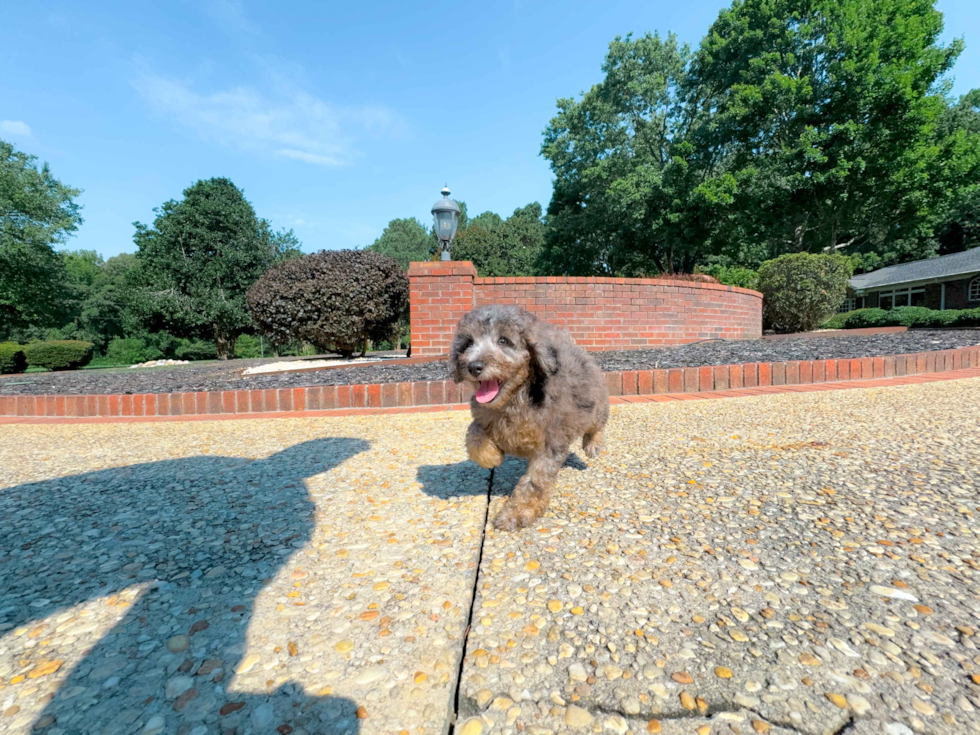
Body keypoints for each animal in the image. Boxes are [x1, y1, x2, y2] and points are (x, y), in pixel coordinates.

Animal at [450, 304, 604, 528]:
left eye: (503, 341)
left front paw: (517, 513)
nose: (474, 366)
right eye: (469, 343)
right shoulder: (484, 416)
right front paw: (491, 456)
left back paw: (593, 445)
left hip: (595, 405)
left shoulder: (550, 443)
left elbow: (534, 481)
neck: (514, 398)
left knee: (597, 424)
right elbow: (475, 434)